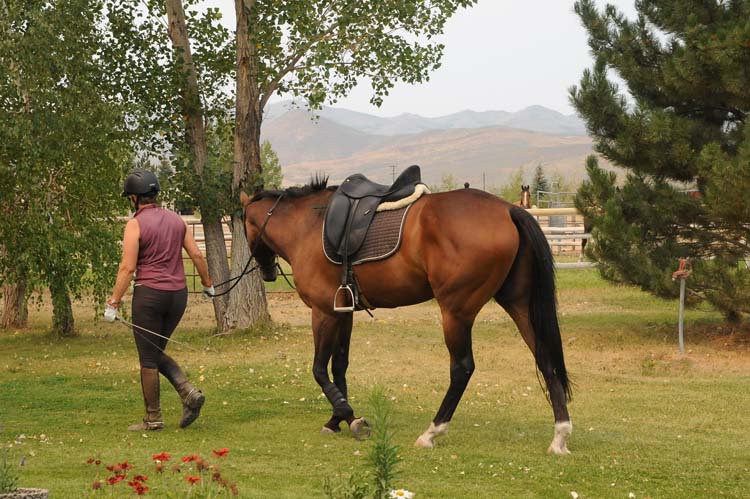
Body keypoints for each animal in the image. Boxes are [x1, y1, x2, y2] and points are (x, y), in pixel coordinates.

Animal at [241, 179, 576, 454]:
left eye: (244, 227)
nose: (268, 272)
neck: (308, 225)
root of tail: (508, 210)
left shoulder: (323, 312)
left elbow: (319, 369)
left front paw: (350, 418)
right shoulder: (343, 313)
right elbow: (339, 366)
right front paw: (337, 418)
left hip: (456, 311)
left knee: (462, 368)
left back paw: (432, 432)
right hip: (518, 304)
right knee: (545, 359)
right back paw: (560, 435)